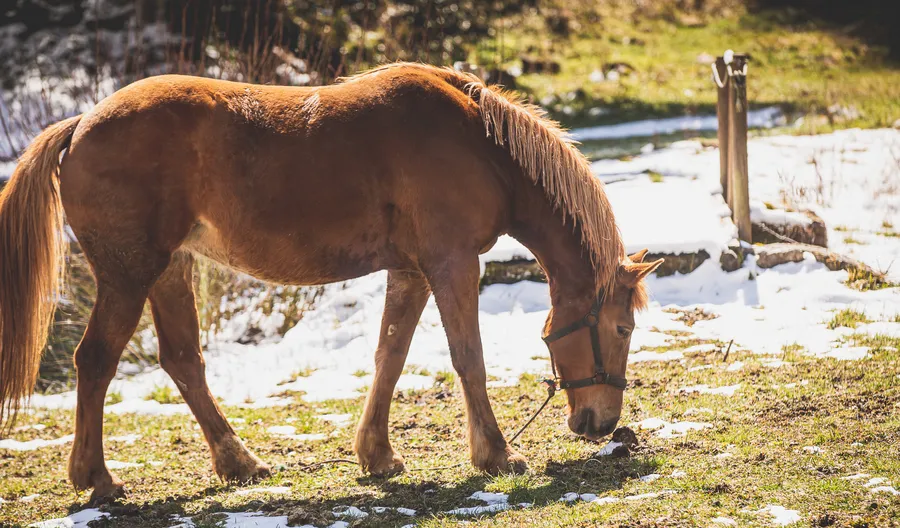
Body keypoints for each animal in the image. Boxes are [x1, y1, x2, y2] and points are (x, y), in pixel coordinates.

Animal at [0, 63, 662, 502]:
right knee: (95, 361)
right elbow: (467, 356)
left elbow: (390, 356)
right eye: (622, 328)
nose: (602, 423)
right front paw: (496, 453)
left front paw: (378, 455)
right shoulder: (452, 264)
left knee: (183, 361)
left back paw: (239, 463)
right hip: (129, 274)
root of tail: (81, 123)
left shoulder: (411, 271)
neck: (480, 143)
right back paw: (97, 477)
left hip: (167, 270)